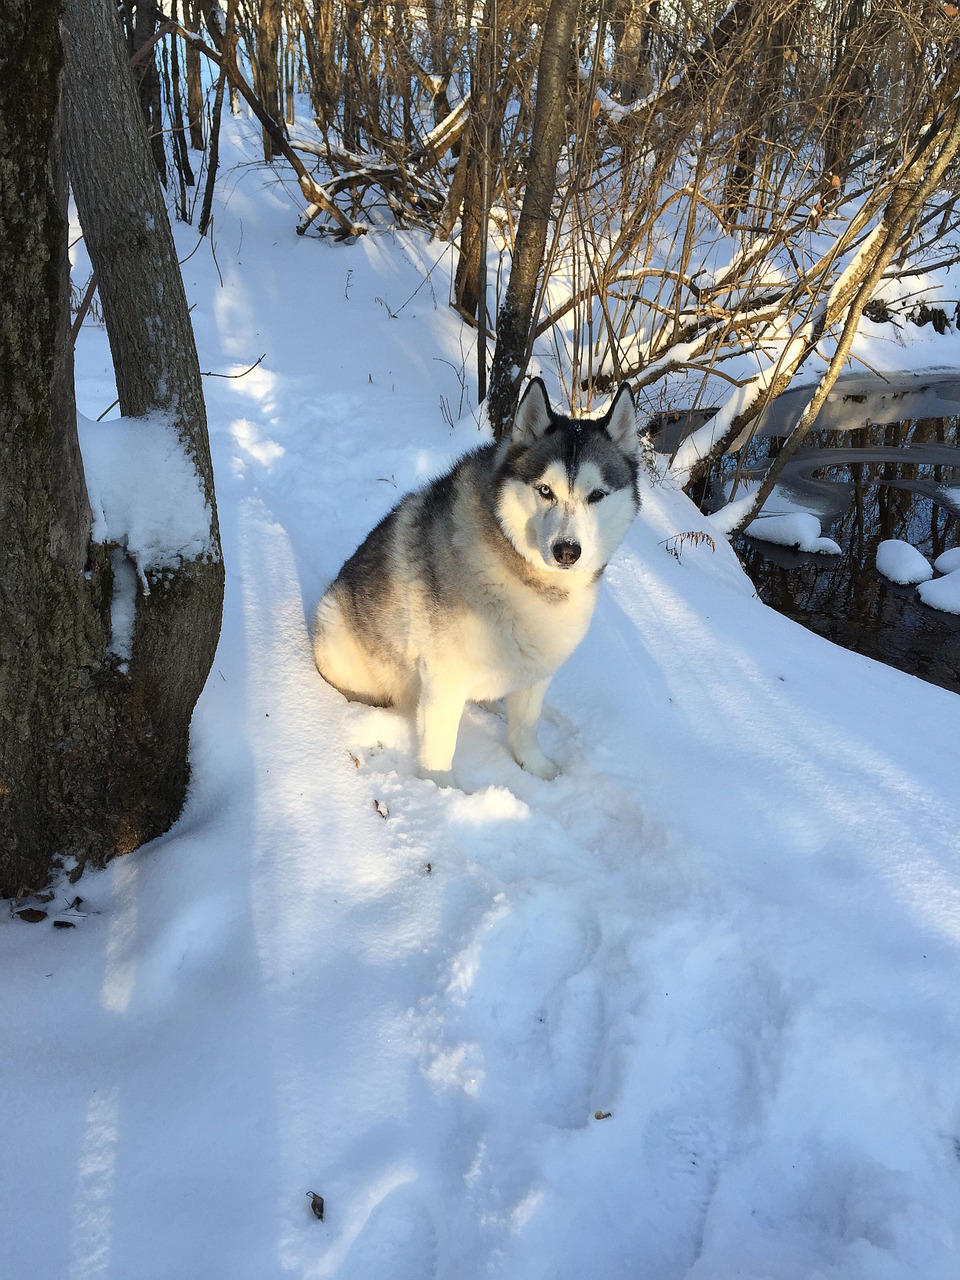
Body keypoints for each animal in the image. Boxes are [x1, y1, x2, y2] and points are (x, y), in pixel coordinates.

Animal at [313, 373, 640, 783]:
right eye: (545, 490)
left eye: (597, 495)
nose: (567, 551)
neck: (531, 580)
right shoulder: (444, 679)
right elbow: (439, 750)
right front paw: (440, 792)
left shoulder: (537, 673)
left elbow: (525, 729)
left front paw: (537, 769)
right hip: (338, 631)